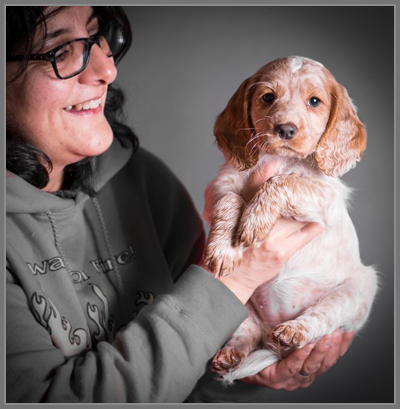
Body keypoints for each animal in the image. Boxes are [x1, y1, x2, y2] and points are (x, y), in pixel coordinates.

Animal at [203, 56, 378, 382]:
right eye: (267, 97)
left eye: (314, 101)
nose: (285, 129)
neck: (281, 158)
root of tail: (271, 332)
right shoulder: (220, 184)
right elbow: (231, 201)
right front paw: (223, 249)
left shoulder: (326, 196)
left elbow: (283, 182)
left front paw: (254, 219)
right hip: (241, 307)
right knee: (246, 332)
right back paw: (231, 355)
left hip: (360, 288)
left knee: (323, 316)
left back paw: (294, 331)